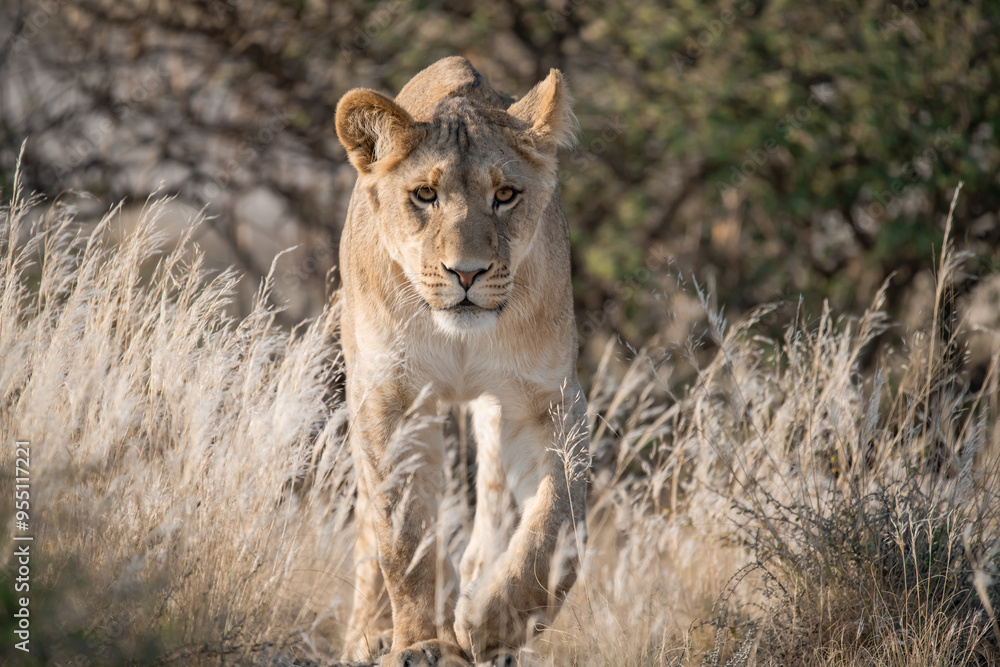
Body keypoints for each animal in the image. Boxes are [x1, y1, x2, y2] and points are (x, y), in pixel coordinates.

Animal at [334, 57, 589, 666]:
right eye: (425, 194)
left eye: (506, 194)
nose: (467, 273)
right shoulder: (390, 397)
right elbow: (401, 534)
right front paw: (421, 643)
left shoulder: (544, 400)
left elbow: (559, 523)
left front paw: (490, 625)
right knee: (371, 528)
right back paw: (371, 635)